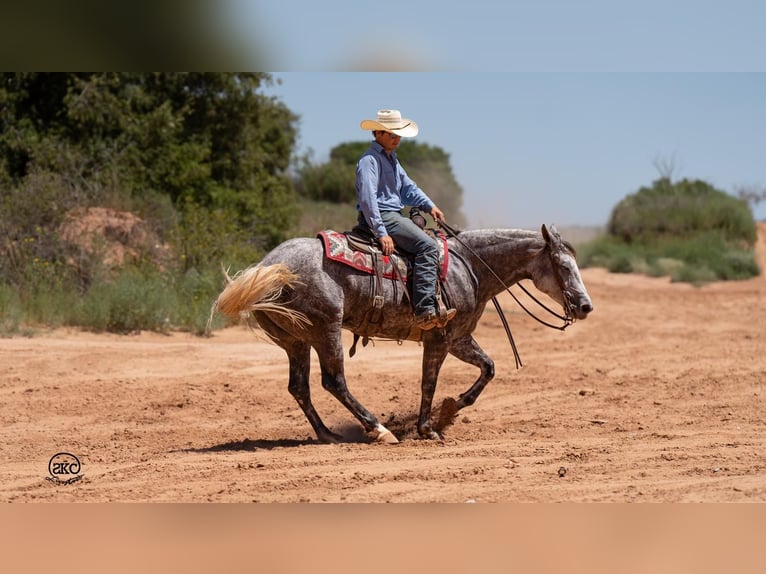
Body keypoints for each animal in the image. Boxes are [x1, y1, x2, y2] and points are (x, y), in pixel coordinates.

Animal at [213, 225, 596, 446]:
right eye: (564, 266)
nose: (585, 306)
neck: (469, 267)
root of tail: (269, 266)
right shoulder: (439, 338)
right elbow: (429, 382)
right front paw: (428, 428)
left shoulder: (459, 339)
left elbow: (488, 368)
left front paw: (452, 408)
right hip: (326, 331)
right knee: (333, 381)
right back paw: (379, 430)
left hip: (295, 341)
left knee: (299, 387)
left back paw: (328, 434)